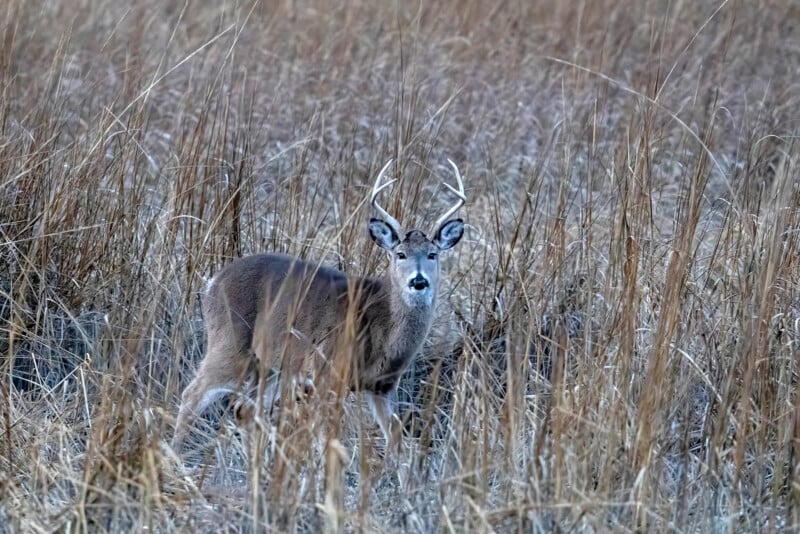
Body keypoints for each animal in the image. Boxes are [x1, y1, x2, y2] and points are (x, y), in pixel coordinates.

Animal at [172, 159, 466, 456]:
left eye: (433, 254)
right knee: (192, 394)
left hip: (273, 365)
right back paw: (175, 455)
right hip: (230, 342)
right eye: (400, 254)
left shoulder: (382, 385)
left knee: (244, 409)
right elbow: (328, 437)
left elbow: (395, 439)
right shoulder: (328, 371)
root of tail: (212, 283)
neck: (382, 323)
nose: (418, 280)